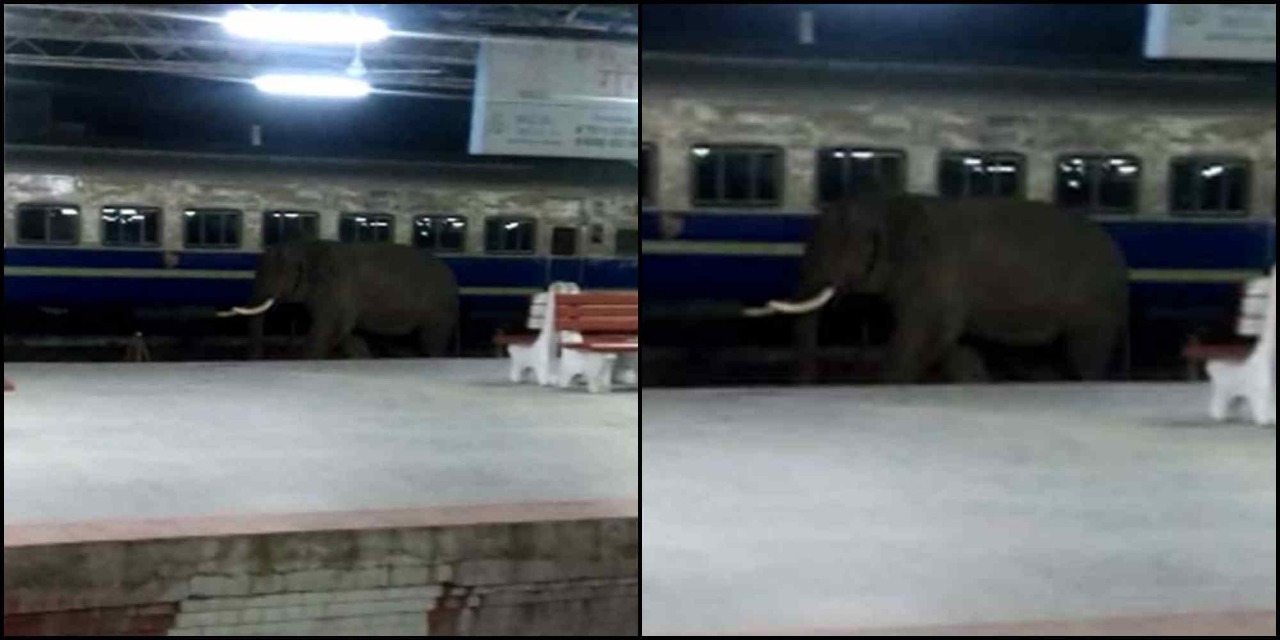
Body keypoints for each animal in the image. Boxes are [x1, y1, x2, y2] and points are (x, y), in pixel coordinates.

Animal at [220, 240, 460, 360]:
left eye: (275, 274)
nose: (258, 359)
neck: (305, 246)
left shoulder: (337, 287)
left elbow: (330, 328)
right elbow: (349, 335)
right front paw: (361, 358)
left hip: (438, 309)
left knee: (431, 343)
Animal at [747, 194, 1126, 381]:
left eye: (838, 248)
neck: (887, 203)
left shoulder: (935, 269)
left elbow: (926, 334)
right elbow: (954, 345)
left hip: (1094, 302)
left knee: (1084, 355)